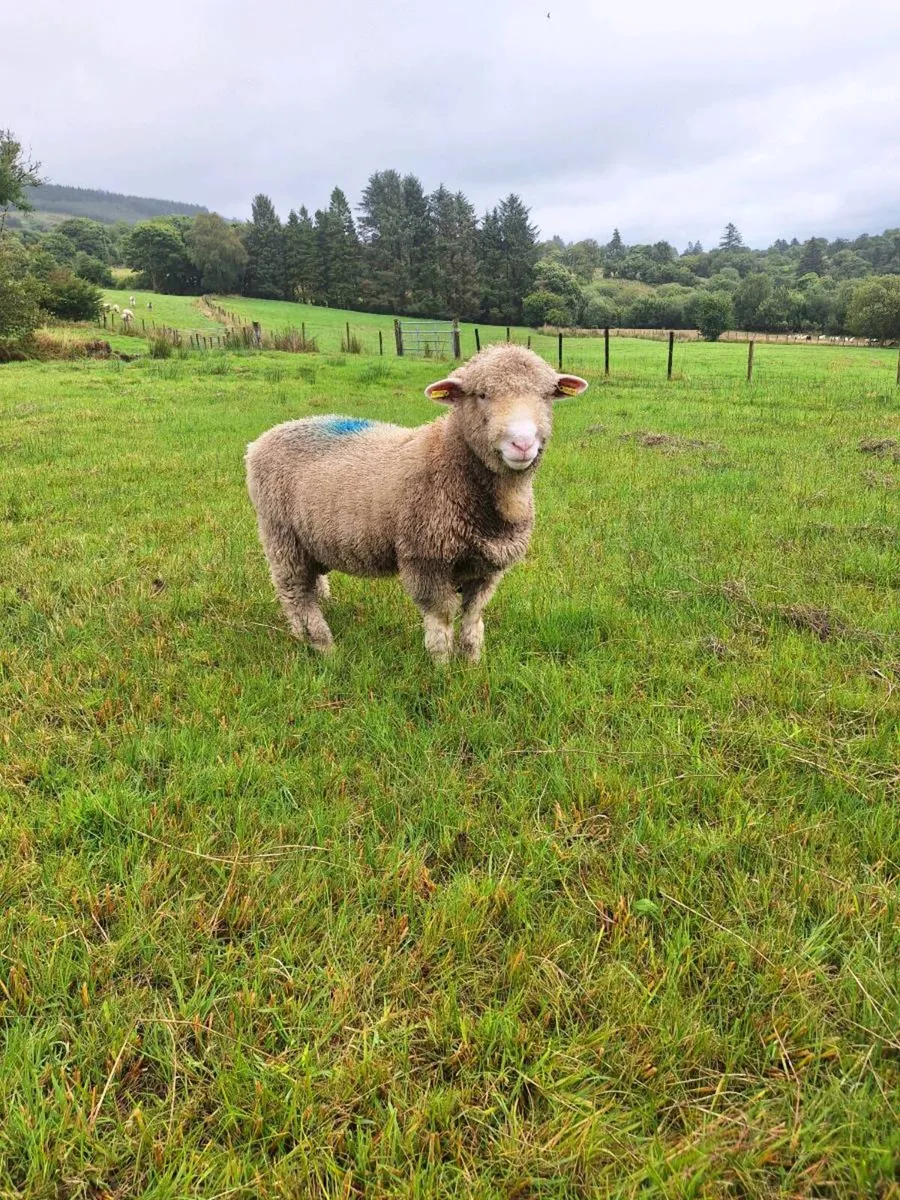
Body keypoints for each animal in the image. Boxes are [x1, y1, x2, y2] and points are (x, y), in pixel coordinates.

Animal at [246, 344, 588, 663]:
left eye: (547, 396)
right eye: (481, 394)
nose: (522, 444)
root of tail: (260, 440)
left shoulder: (487, 567)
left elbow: (473, 618)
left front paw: (472, 662)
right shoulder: (424, 558)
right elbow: (441, 621)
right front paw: (442, 669)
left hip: (309, 540)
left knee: (310, 583)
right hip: (280, 534)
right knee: (295, 592)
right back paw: (322, 646)